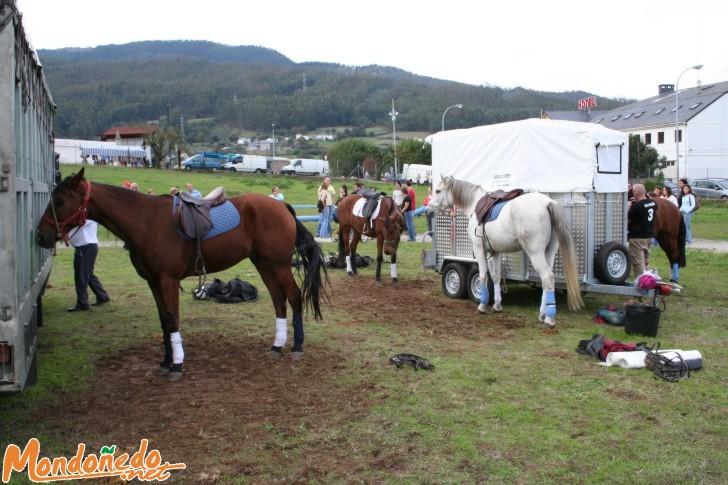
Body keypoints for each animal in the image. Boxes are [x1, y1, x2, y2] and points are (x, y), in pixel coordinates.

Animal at [37, 168, 328, 380]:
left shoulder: (167, 280)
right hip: (264, 264)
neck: (145, 222)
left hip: (278, 264)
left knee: (293, 297)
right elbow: (164, 322)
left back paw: (297, 346)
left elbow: (172, 319)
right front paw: (166, 362)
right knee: (279, 300)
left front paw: (177, 365)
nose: (41, 236)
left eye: (59, 201)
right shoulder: (153, 282)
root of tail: (282, 206)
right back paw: (277, 345)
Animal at [426, 176, 584, 328]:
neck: (475, 205)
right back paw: (542, 315)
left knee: (547, 278)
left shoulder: (479, 249)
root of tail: (548, 203)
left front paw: (482, 305)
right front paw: (497, 305)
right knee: (547, 281)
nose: (428, 210)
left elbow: (482, 276)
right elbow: (496, 277)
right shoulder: (496, 252)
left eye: (438, 191)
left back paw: (549, 319)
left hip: (535, 254)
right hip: (549, 253)